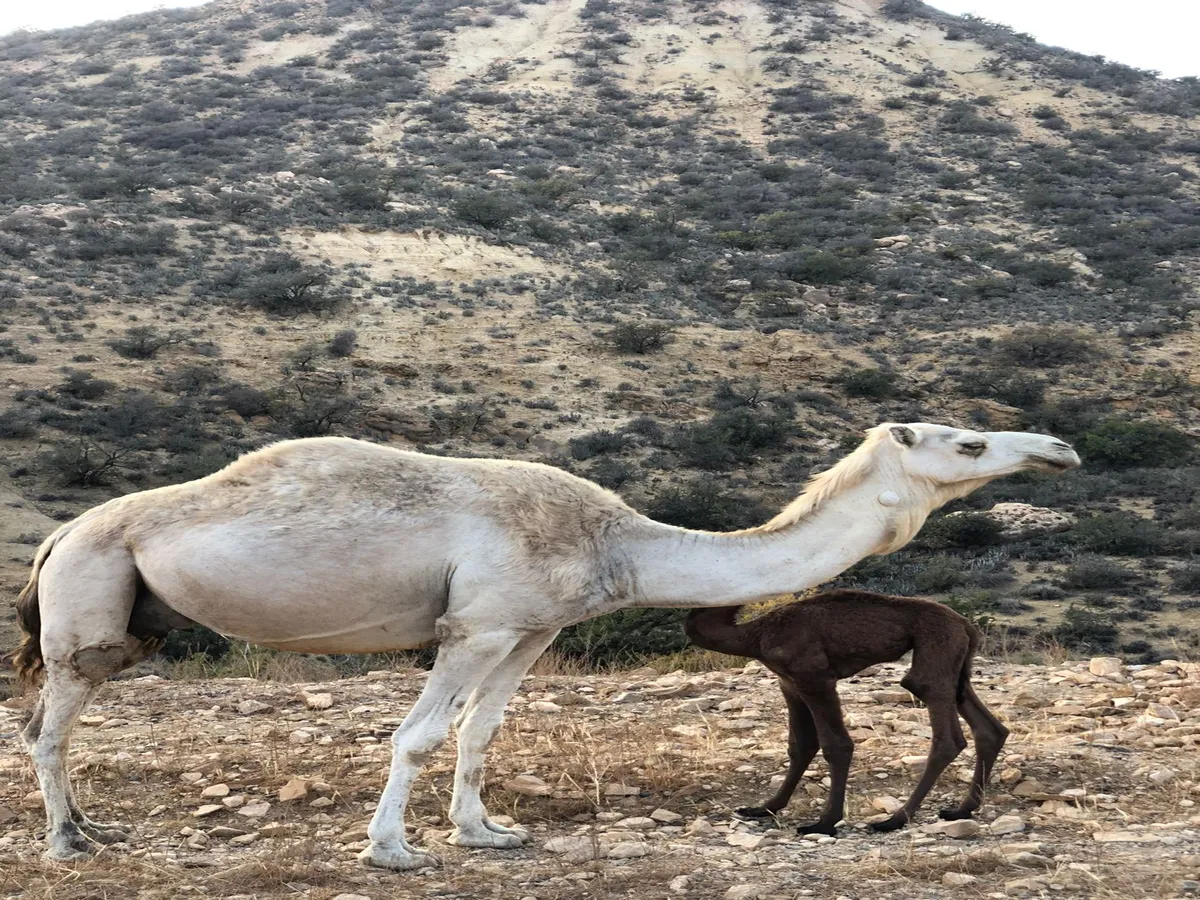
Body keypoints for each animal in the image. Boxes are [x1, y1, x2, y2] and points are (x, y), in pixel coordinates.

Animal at [686, 592, 1003, 840]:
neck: (755, 634)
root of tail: (966, 626)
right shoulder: (788, 682)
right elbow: (800, 745)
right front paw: (764, 807)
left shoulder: (814, 677)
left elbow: (836, 745)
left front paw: (824, 822)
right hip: (958, 669)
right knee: (990, 728)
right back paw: (960, 809)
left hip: (934, 654)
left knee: (946, 735)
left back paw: (894, 819)